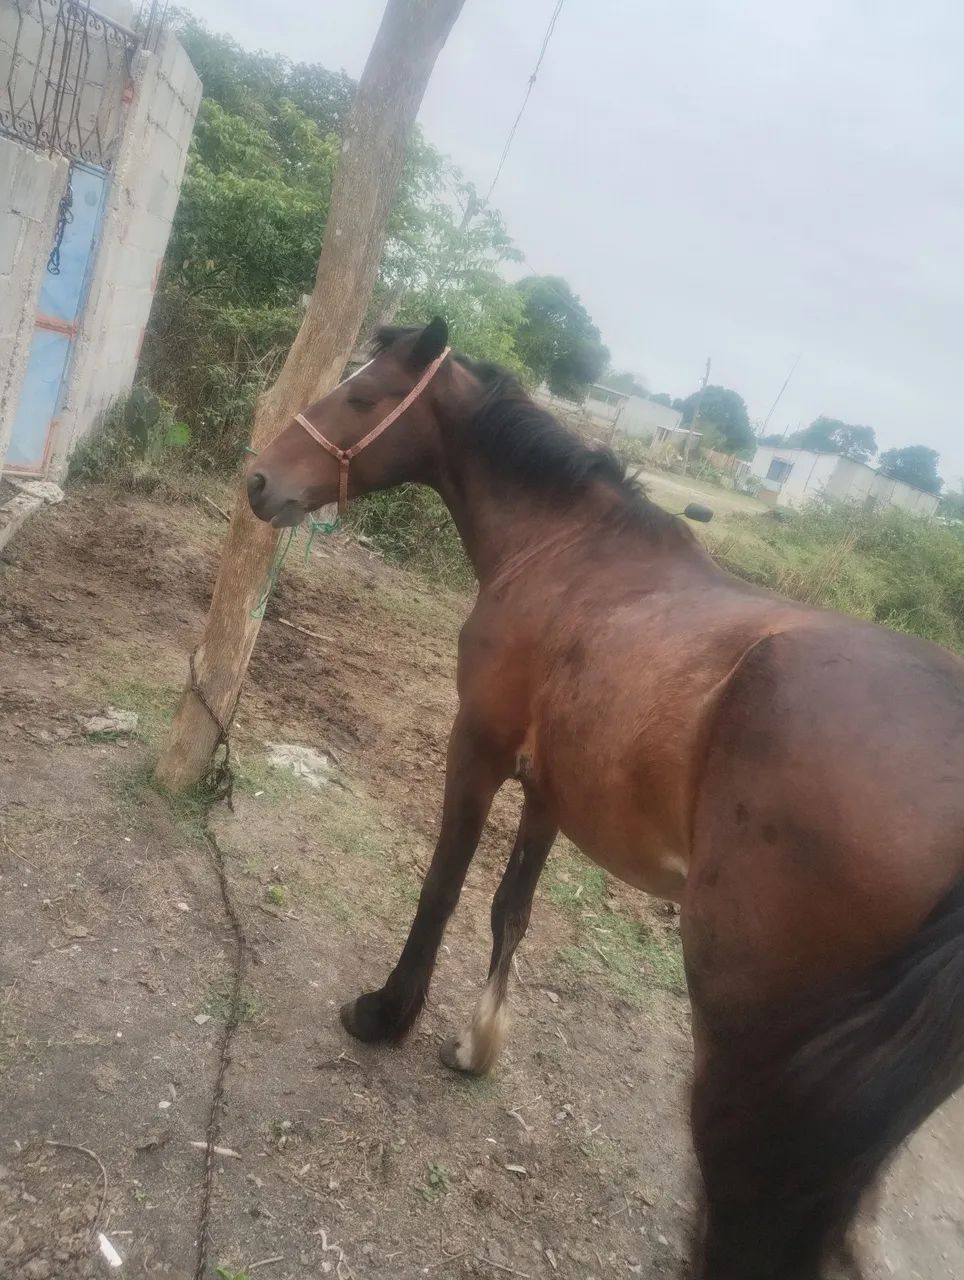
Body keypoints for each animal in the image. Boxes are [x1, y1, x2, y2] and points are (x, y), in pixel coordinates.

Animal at [246, 318, 964, 1279]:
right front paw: (477, 1042)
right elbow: (509, 910)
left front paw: (386, 1014)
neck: (568, 549)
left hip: (749, 1044)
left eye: (361, 396)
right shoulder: (553, 790)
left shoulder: (477, 748)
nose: (260, 481)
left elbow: (441, 890)